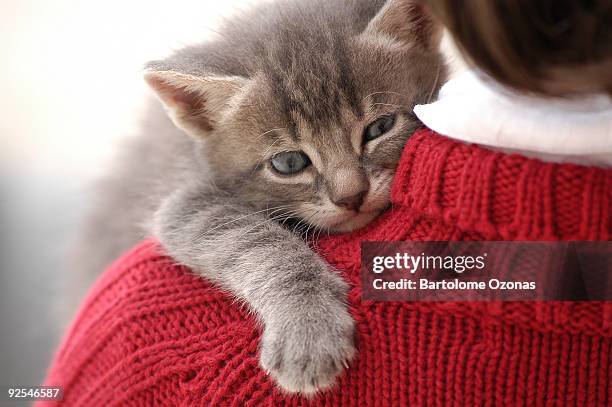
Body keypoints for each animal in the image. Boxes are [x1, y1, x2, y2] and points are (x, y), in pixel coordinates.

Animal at [74, 0, 442, 396]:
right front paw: (308, 328)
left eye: (380, 128)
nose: (352, 195)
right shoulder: (184, 199)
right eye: (289, 163)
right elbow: (257, 242)